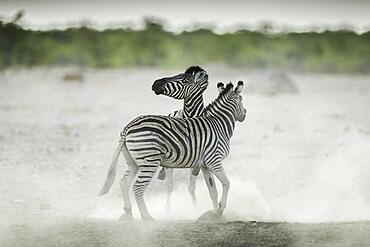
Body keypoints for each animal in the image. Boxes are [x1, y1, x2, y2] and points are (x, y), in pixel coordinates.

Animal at [99, 81, 247, 220]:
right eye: (242, 99)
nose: (245, 113)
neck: (219, 124)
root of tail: (128, 126)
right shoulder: (214, 160)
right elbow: (226, 183)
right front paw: (220, 209)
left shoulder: (205, 165)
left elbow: (213, 191)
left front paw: (214, 214)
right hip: (149, 161)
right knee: (138, 187)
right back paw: (147, 217)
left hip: (133, 162)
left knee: (124, 183)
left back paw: (128, 213)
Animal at [151, 65, 218, 212]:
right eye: (177, 74)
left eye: (185, 81)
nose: (155, 84)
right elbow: (170, 187)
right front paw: (167, 211)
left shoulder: (198, 163)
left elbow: (192, 188)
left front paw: (196, 209)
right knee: (169, 186)